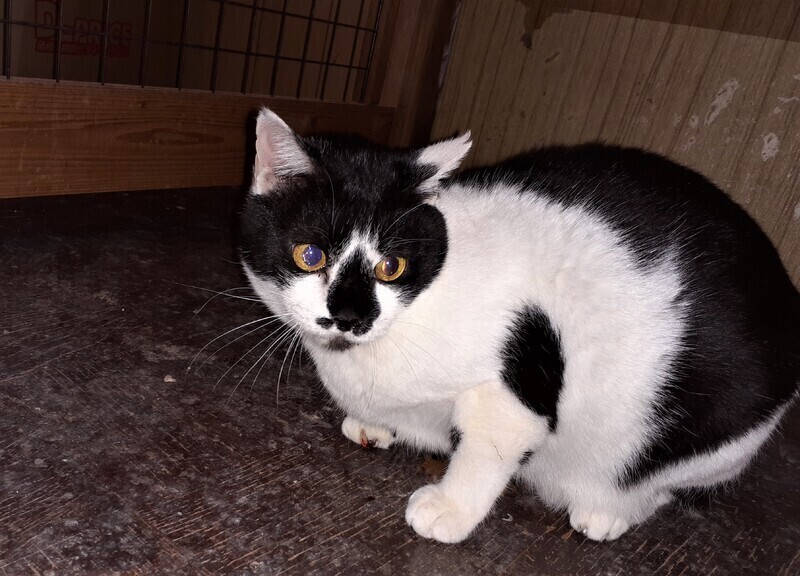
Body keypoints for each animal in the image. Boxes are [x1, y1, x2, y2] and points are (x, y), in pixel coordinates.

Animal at [238, 108, 800, 543]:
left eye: (390, 267)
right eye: (310, 256)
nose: (350, 318)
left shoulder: (518, 378)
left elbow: (487, 450)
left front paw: (451, 509)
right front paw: (372, 424)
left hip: (712, 434)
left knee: (661, 485)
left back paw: (607, 511)